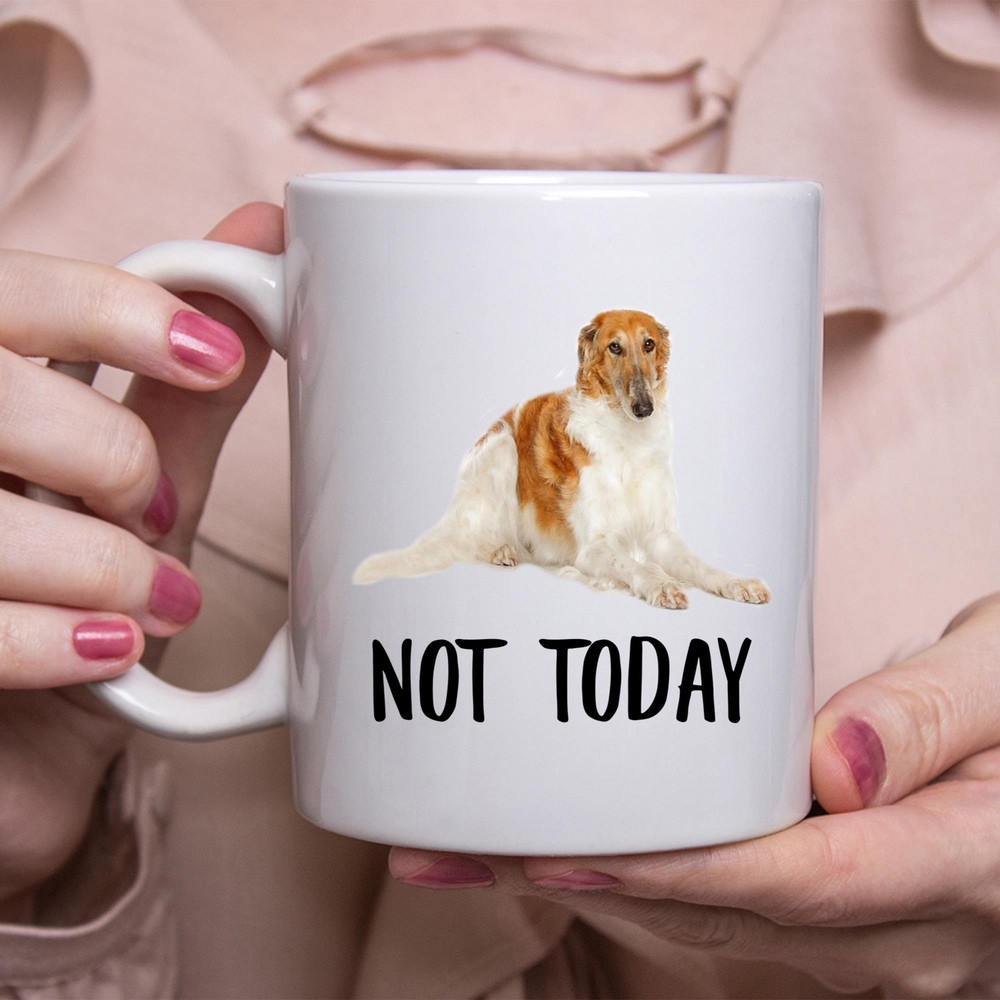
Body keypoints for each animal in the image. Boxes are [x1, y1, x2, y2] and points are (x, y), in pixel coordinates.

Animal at [353, 309, 770, 609]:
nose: (643, 408)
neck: (627, 441)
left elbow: (702, 566)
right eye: (614, 347)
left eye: (649, 344)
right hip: (502, 448)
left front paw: (739, 583)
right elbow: (634, 564)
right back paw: (502, 550)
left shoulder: (662, 535)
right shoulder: (595, 546)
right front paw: (661, 584)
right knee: (475, 538)